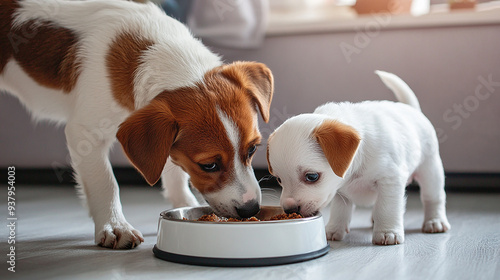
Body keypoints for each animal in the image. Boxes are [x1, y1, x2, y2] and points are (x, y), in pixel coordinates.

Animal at [0, 0, 274, 249]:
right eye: (209, 165)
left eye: (252, 149)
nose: (251, 208)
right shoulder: (85, 134)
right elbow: (106, 182)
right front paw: (115, 226)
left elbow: (174, 171)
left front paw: (185, 204)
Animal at [268, 70, 452, 245]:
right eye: (279, 180)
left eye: (312, 177)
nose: (289, 209)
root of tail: (411, 109)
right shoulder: (340, 192)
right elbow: (340, 211)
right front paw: (333, 229)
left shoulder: (390, 181)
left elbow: (387, 208)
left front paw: (387, 232)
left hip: (430, 171)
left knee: (433, 198)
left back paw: (435, 221)